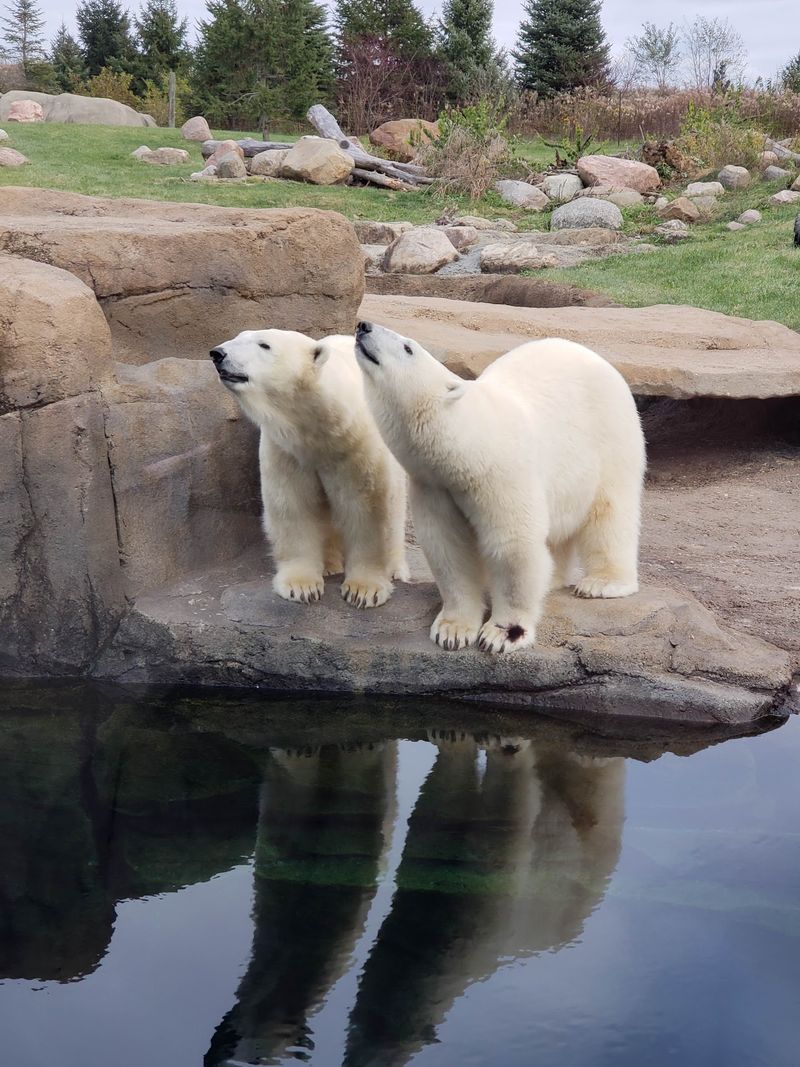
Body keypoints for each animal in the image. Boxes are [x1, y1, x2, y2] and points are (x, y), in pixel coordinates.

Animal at [210, 329, 408, 608]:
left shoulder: (359, 447)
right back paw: (330, 564)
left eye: (264, 345)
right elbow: (294, 505)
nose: (218, 354)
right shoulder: (287, 450)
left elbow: (368, 509)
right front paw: (301, 586)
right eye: (239, 336)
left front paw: (363, 590)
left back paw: (397, 569)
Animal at [354, 320, 646, 653]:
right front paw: (452, 630)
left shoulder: (501, 474)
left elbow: (512, 546)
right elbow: (448, 548)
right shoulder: (434, 487)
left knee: (610, 511)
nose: (364, 326)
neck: (469, 443)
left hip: (611, 435)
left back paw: (603, 583)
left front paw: (502, 634)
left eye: (408, 347)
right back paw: (553, 579)